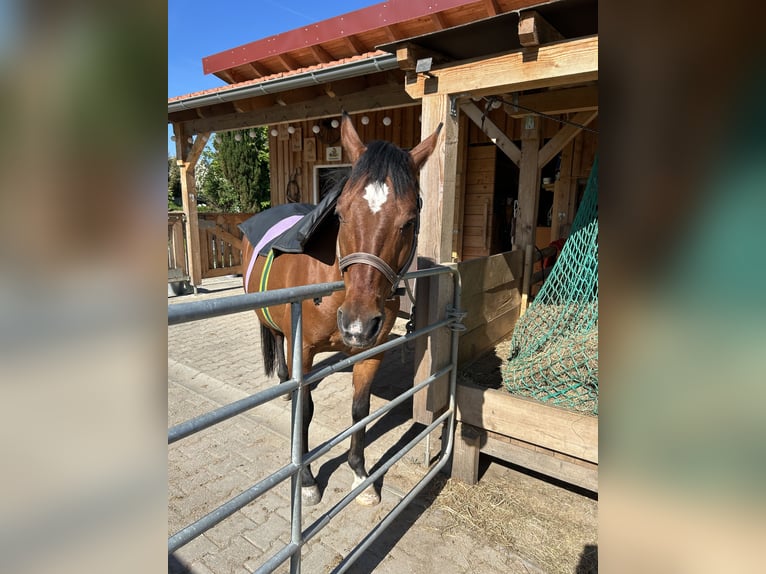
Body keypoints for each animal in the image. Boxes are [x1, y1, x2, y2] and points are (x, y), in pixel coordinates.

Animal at [240, 113, 441, 506]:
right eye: (342, 214)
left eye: (410, 220)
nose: (357, 324)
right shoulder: (302, 349)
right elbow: (304, 411)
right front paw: (306, 480)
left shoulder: (371, 353)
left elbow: (360, 410)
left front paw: (361, 476)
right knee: (281, 356)